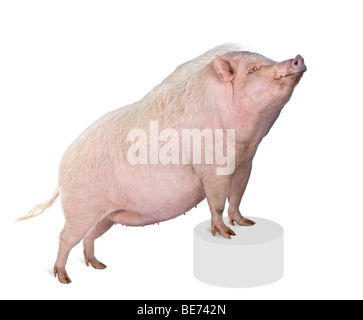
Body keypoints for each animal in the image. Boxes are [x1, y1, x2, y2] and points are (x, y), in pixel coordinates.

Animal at [19, 43, 308, 284]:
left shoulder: (245, 163)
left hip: (105, 216)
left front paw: (246, 224)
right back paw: (64, 279)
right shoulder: (212, 168)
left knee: (89, 236)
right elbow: (216, 202)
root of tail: (60, 176)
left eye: (267, 60)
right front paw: (226, 234)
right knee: (64, 237)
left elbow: (237, 197)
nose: (297, 58)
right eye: (253, 69)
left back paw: (98, 266)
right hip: (81, 208)